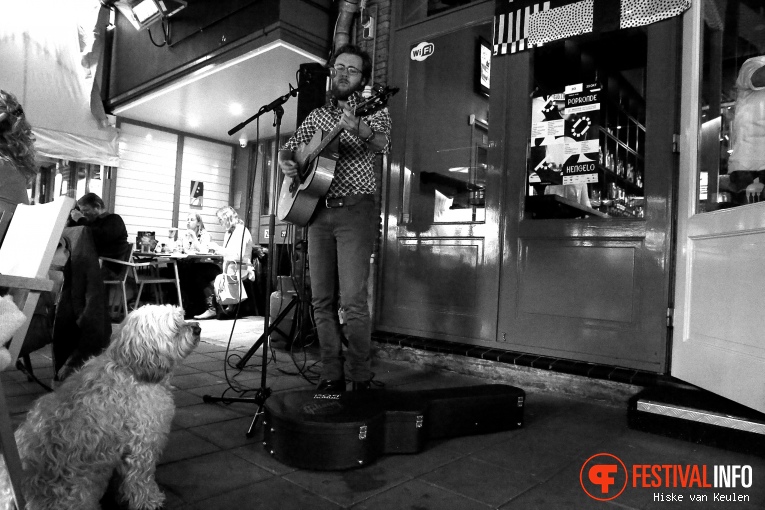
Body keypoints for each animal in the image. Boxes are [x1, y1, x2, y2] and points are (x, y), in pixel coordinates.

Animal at [0, 304, 200, 508]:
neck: (130, 367)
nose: (197, 328)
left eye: (183, 317)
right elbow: (140, 479)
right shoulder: (142, 445)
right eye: (176, 326)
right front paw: (150, 500)